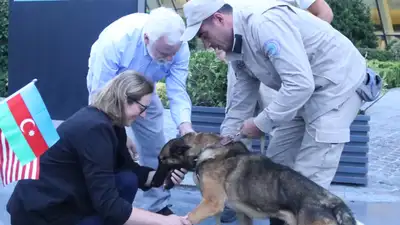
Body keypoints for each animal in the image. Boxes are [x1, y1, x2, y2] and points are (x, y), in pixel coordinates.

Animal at [152, 132, 356, 225]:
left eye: (162, 160)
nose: (153, 183)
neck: (204, 150)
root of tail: (334, 203)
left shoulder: (212, 204)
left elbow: (189, 218)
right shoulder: (243, 213)